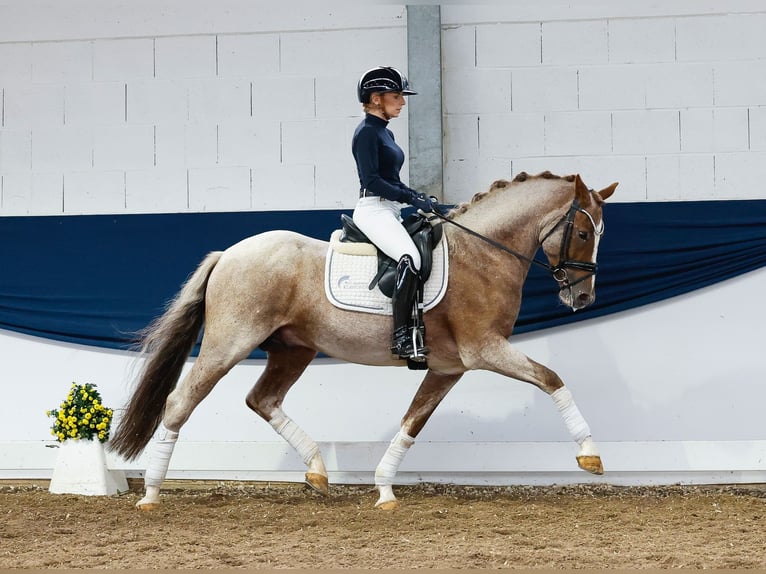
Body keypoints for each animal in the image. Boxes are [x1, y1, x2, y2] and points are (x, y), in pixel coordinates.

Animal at [111, 172, 620, 512]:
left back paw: (317, 472)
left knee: (263, 399)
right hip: (228, 344)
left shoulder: (449, 367)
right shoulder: (485, 350)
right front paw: (590, 455)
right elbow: (552, 378)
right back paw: (151, 494)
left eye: (599, 233)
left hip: (294, 349)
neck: (483, 252)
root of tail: (229, 253)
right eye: (581, 232)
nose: (583, 297)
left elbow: (413, 422)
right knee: (180, 402)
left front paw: (385, 489)